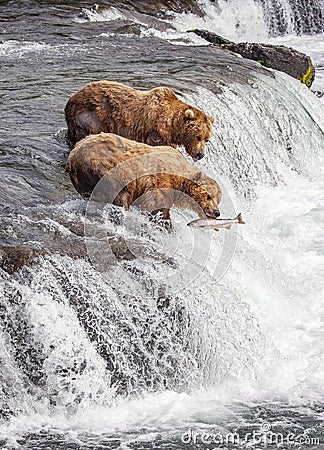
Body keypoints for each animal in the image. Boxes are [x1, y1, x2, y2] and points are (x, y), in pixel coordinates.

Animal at [64, 81, 214, 162]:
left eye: (207, 139)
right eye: (198, 136)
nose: (200, 155)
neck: (172, 125)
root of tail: (72, 98)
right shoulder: (156, 131)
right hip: (91, 116)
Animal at [66, 131, 223, 222]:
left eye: (218, 199)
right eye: (209, 196)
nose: (216, 212)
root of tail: (73, 156)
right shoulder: (159, 183)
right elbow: (158, 207)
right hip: (107, 171)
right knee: (120, 196)